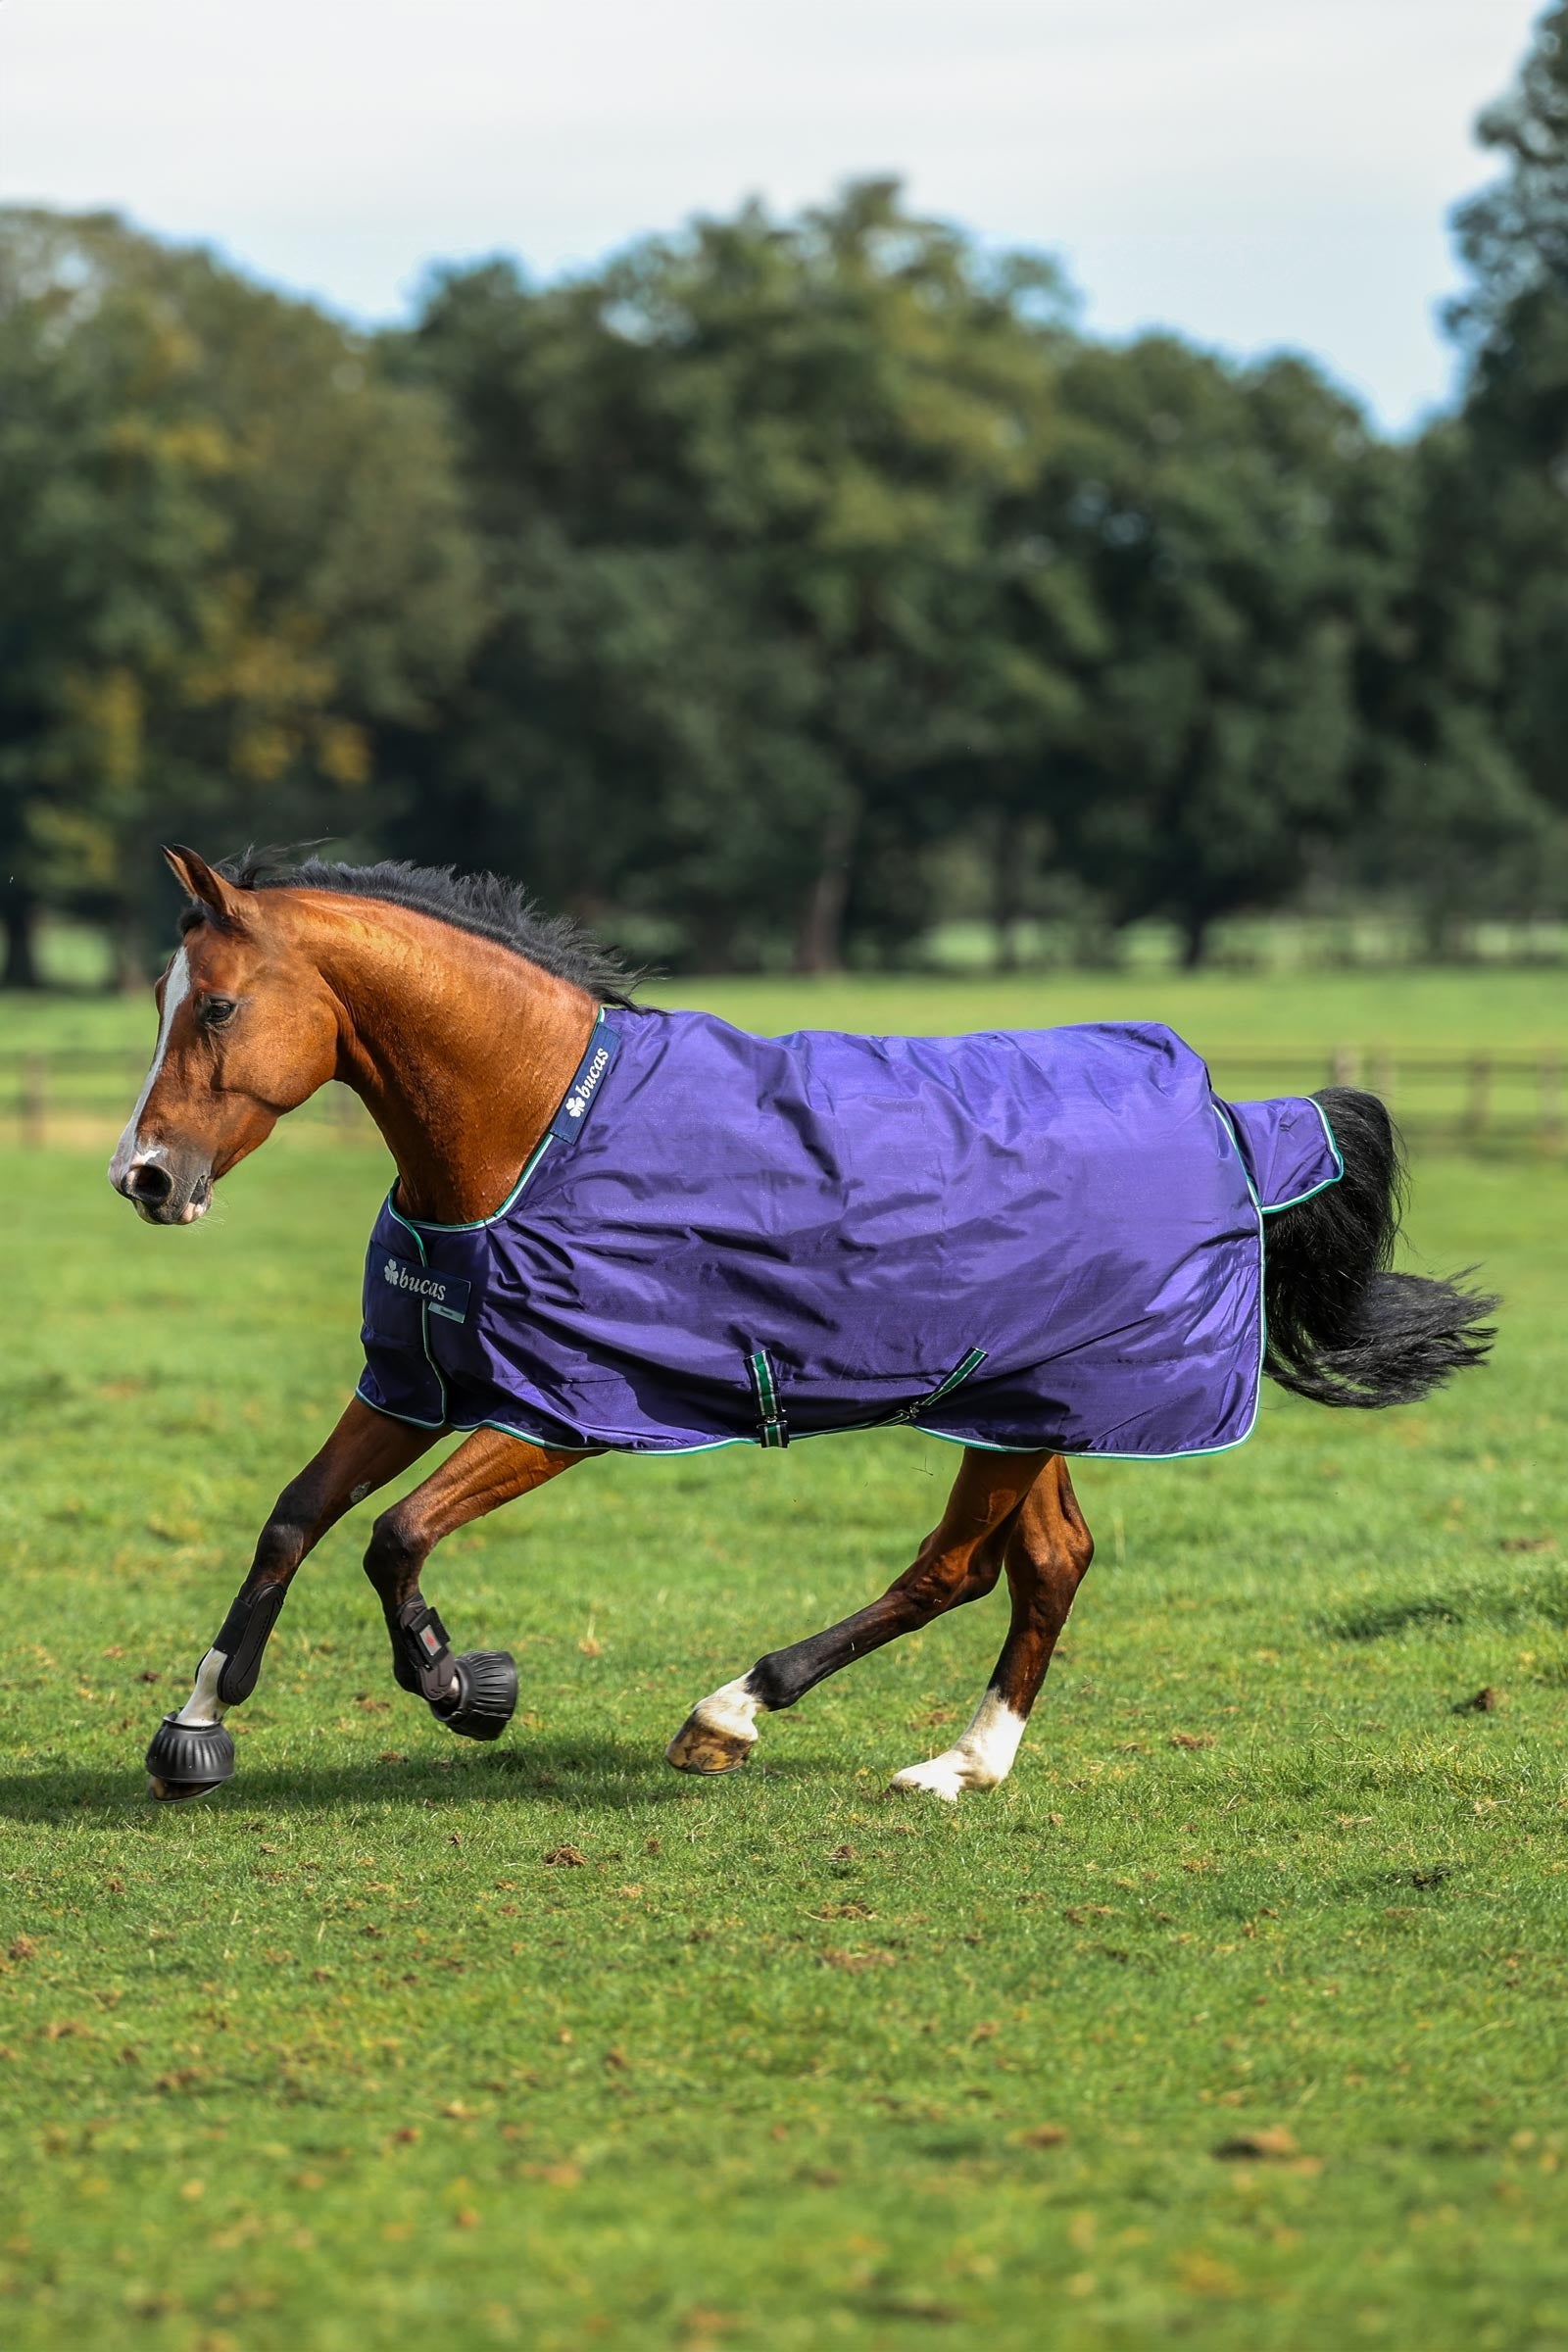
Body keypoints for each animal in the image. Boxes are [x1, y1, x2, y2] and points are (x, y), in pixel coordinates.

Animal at [109, 847, 1496, 1804]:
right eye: (164, 1003)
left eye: (216, 1008)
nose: (144, 1179)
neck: (535, 1124)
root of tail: (1228, 1119)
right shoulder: (414, 1383)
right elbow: (295, 1518)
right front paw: (198, 1727)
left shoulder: (559, 1412)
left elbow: (392, 1538)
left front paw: (464, 1686)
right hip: (1025, 1404)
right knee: (1049, 1562)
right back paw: (965, 1764)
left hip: (1022, 1407)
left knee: (958, 1568)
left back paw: (737, 1712)